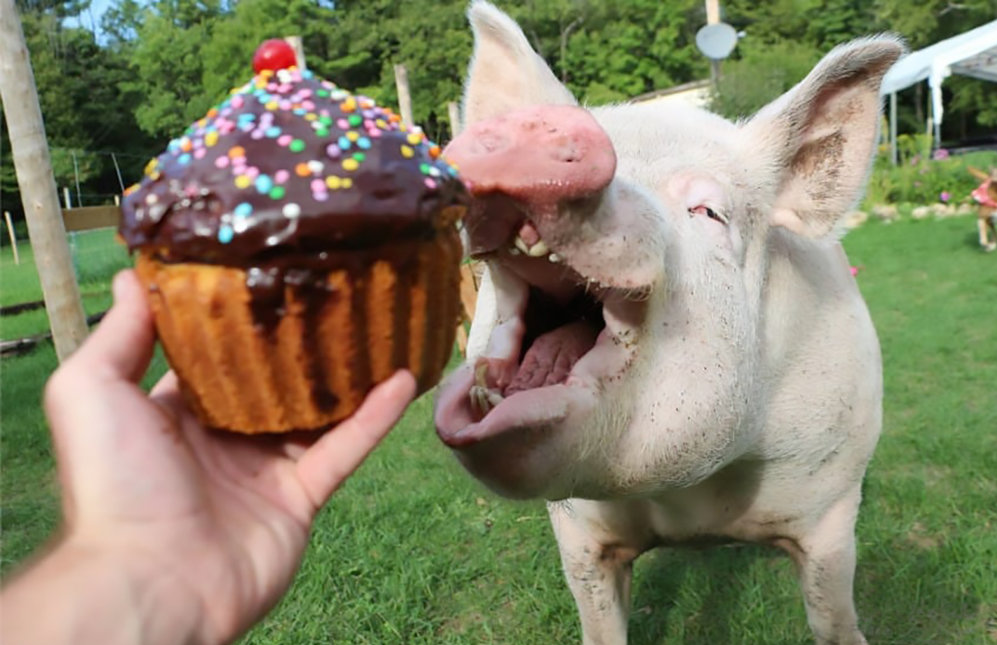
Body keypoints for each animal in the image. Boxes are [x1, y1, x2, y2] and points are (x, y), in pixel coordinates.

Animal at [433, 3, 902, 644]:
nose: (544, 129)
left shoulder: (830, 510)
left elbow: (834, 617)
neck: (692, 507)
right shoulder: (579, 535)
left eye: (708, 211)